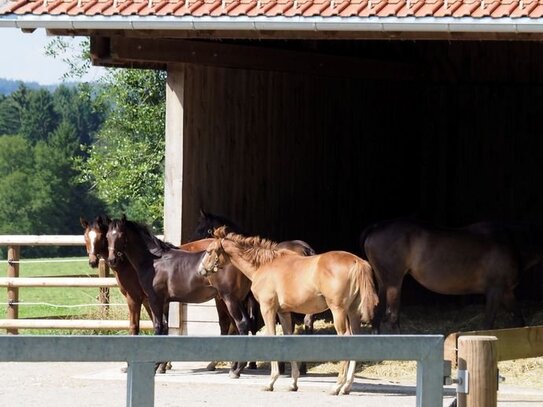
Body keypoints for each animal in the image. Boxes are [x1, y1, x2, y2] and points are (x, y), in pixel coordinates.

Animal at [199, 226, 378, 396]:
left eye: (209, 251)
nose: (201, 270)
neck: (263, 265)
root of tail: (356, 261)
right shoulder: (283, 312)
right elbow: (287, 338)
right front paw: (293, 383)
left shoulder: (267, 308)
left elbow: (272, 337)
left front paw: (270, 382)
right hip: (352, 312)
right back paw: (347, 387)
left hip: (338, 310)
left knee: (346, 337)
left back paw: (337, 386)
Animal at [360, 218, 524, 334]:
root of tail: (376, 228)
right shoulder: (495, 290)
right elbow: (489, 323)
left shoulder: (506, 292)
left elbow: (519, 317)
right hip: (394, 282)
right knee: (393, 317)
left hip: (384, 282)